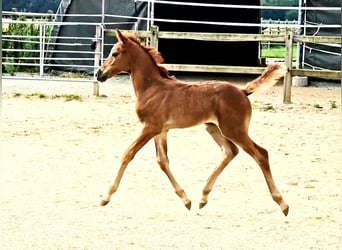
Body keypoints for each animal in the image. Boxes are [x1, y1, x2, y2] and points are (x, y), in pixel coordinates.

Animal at [96, 30, 288, 216]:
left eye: (115, 53)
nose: (99, 74)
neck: (152, 89)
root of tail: (243, 91)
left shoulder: (149, 128)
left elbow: (127, 154)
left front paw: (105, 197)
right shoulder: (161, 131)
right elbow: (162, 161)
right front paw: (186, 200)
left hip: (234, 130)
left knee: (261, 154)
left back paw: (282, 204)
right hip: (214, 128)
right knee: (230, 151)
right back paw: (203, 198)